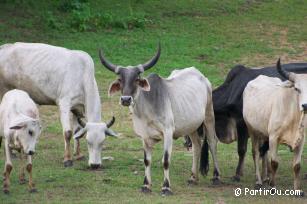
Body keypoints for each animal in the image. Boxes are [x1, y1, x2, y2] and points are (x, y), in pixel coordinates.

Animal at [244, 59, 306, 196]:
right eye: (297, 88)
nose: (305, 105)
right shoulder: (273, 138)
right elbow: (274, 163)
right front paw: (273, 187)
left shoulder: (301, 140)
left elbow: (297, 166)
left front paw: (297, 190)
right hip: (252, 130)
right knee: (256, 153)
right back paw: (259, 181)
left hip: (263, 134)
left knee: (264, 153)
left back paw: (265, 177)